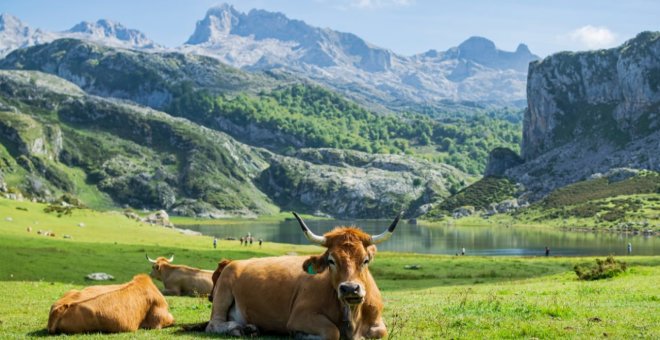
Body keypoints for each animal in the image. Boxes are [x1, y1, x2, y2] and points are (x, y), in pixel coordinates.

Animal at [208, 211, 402, 338]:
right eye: (331, 261)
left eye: (365, 260)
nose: (350, 288)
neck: (353, 317)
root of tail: (232, 262)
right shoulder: (300, 315)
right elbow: (332, 331)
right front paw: (301, 335)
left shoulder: (378, 323)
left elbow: (382, 331)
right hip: (222, 293)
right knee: (214, 324)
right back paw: (237, 328)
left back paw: (251, 328)